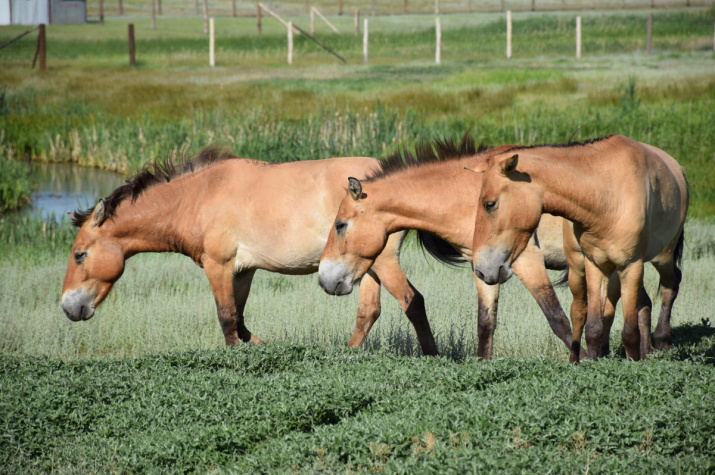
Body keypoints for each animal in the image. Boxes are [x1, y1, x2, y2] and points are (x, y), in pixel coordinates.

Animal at [61, 151, 440, 356]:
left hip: (382, 262)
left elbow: (227, 318)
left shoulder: (218, 266)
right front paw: (266, 348)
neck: (199, 196)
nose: (68, 307)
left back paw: (431, 356)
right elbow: (241, 322)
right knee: (369, 312)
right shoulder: (243, 271)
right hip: (365, 268)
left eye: (79, 255)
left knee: (412, 300)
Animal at [320, 137, 588, 360]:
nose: (324, 278)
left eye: (340, 225)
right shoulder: (483, 268)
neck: (470, 196)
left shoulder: (527, 260)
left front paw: (584, 361)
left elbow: (557, 318)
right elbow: (486, 324)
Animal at [470, 136, 688, 362]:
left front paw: (633, 362)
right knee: (581, 310)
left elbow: (629, 331)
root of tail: (677, 168)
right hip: (579, 268)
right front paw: (591, 362)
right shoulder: (595, 264)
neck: (604, 196)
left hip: (663, 256)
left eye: (489, 204)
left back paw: (662, 340)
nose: (481, 269)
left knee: (671, 283)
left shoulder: (630, 266)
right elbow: (593, 326)